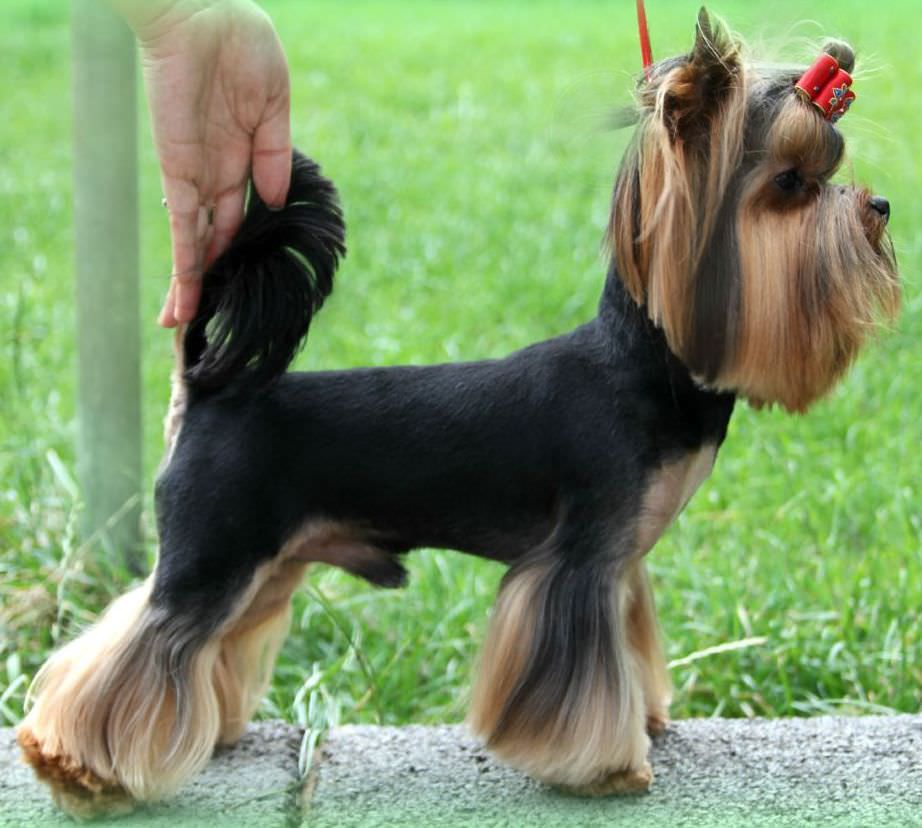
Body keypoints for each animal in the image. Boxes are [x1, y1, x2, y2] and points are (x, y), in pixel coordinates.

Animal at [16, 8, 892, 820]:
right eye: (792, 184)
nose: (880, 204)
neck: (646, 366)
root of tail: (208, 391)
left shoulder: (621, 565)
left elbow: (630, 649)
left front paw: (646, 722)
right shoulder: (578, 561)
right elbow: (580, 672)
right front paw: (608, 767)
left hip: (265, 567)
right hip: (215, 553)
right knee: (140, 640)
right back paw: (76, 764)